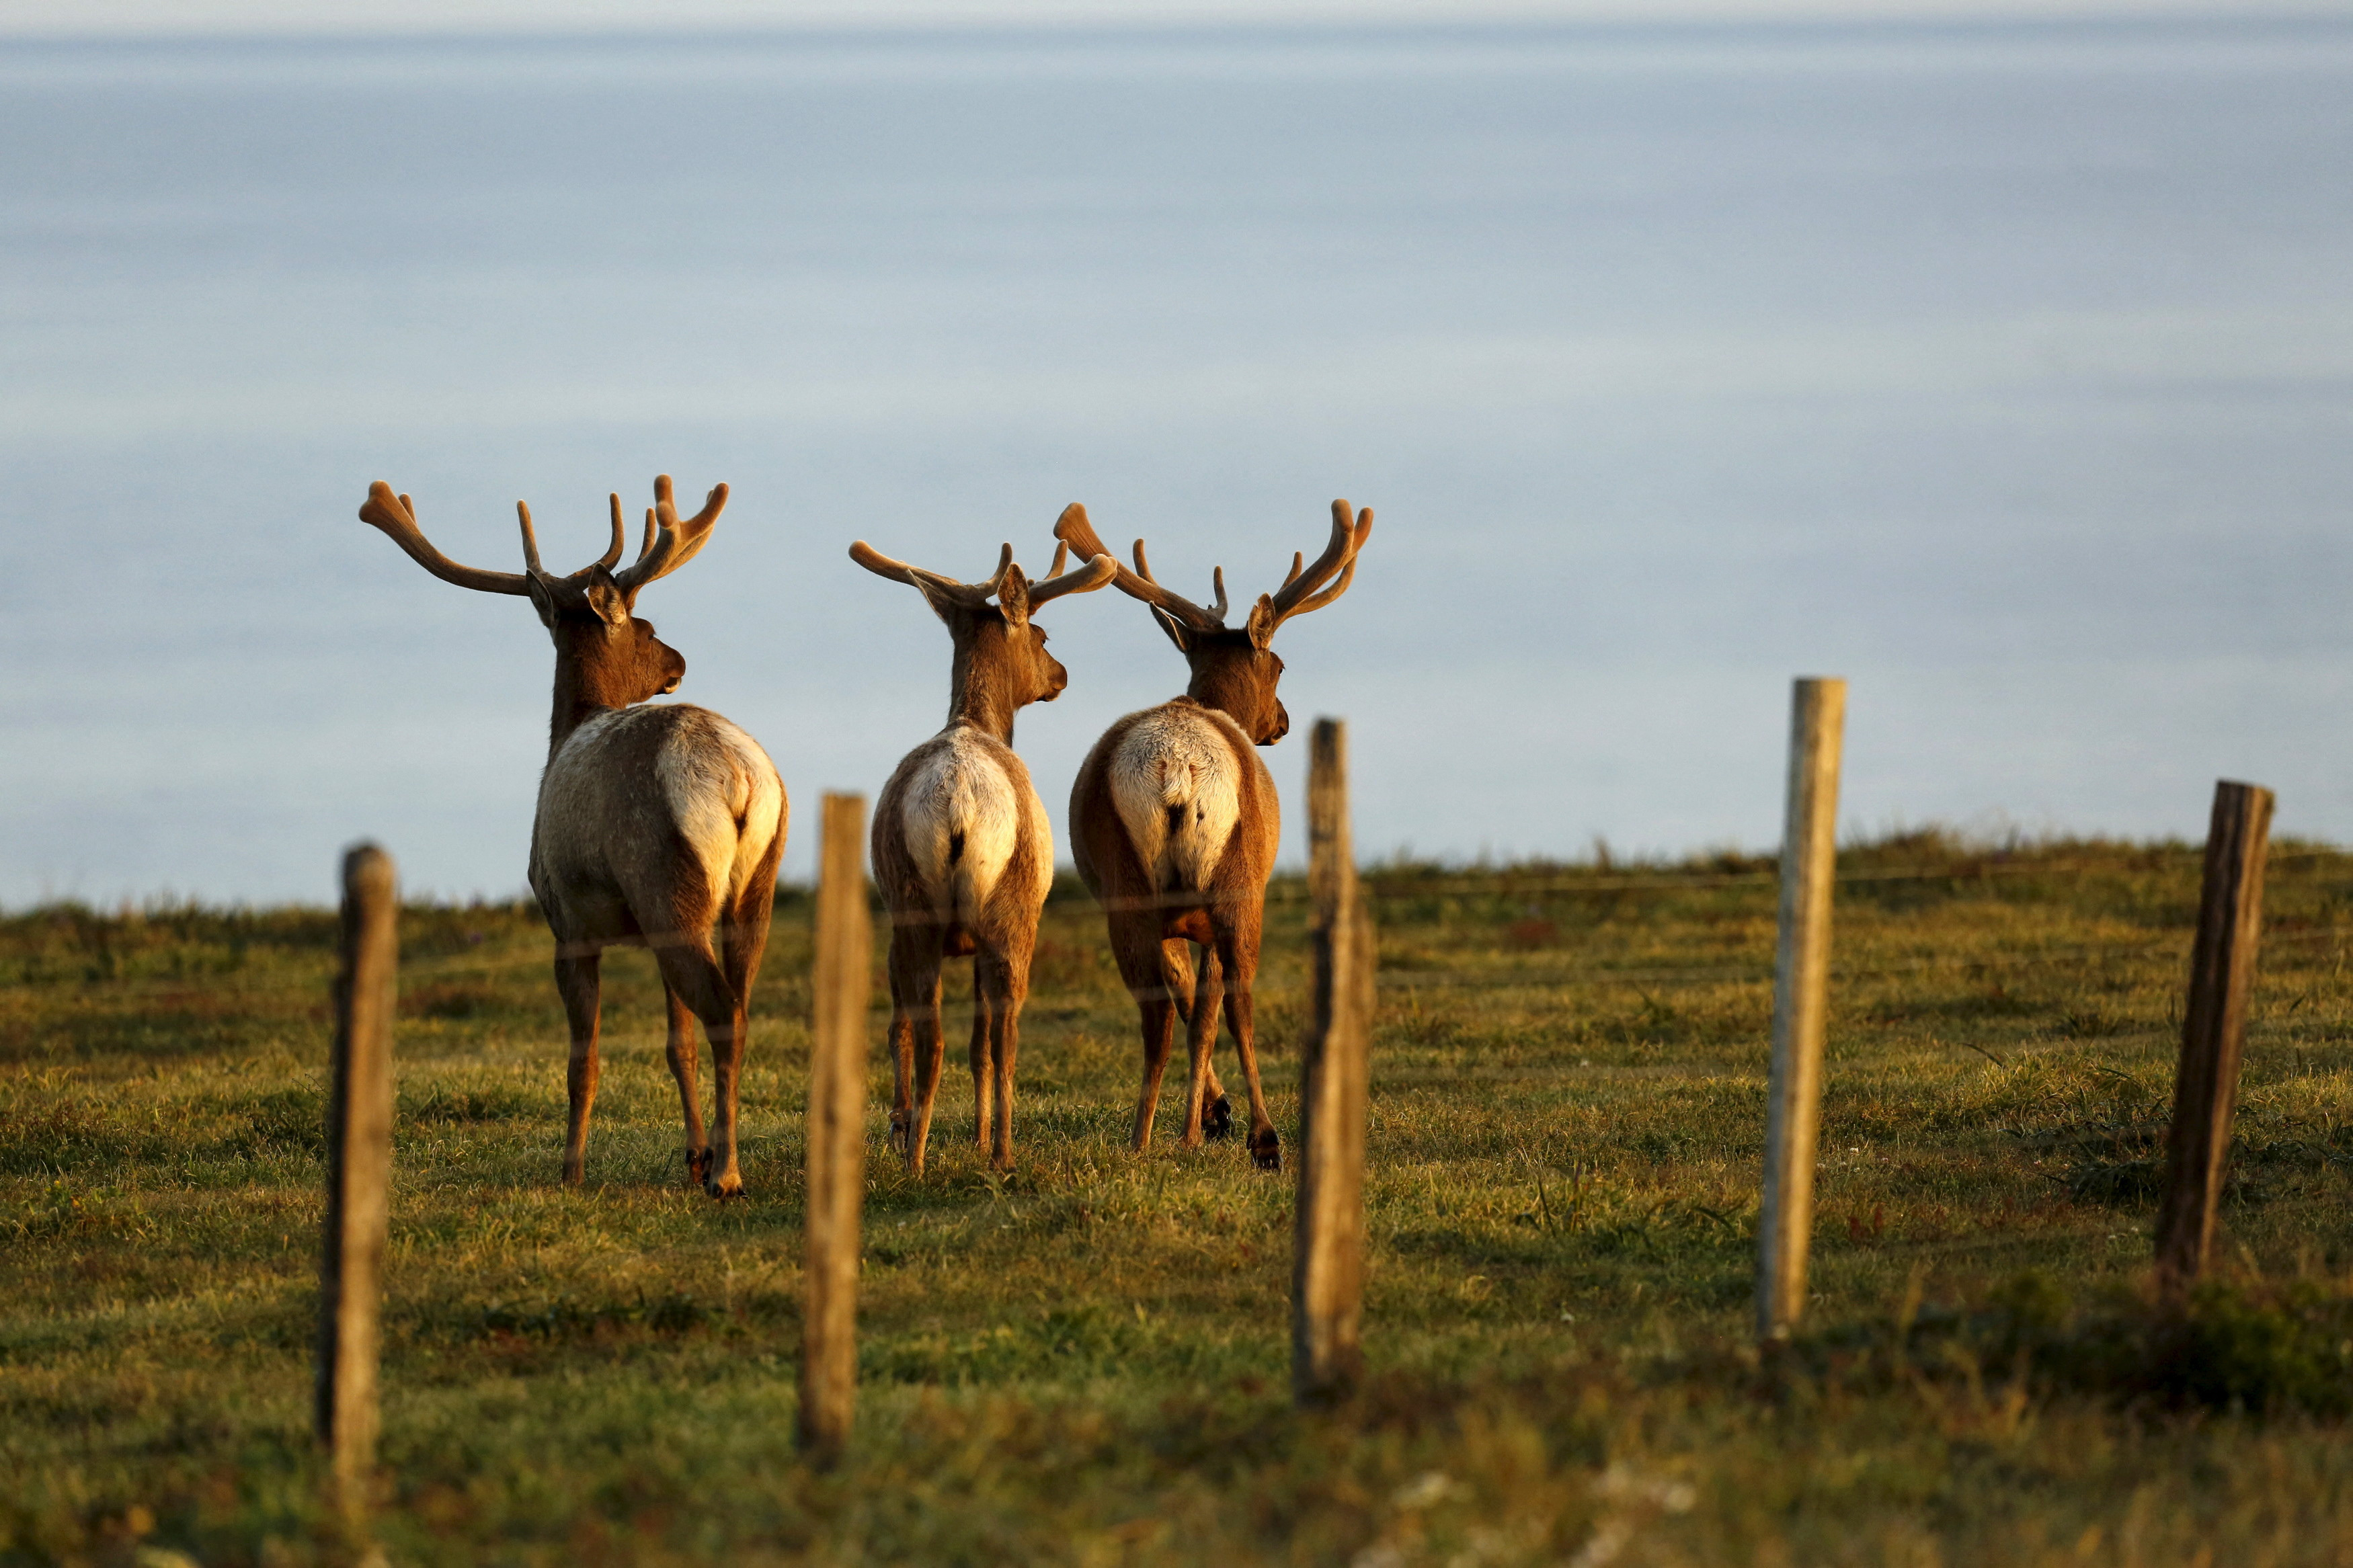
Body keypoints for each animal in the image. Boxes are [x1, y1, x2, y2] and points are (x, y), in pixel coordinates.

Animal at [353, 472, 786, 1194]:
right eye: (648, 627)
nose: (679, 660)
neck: (568, 730)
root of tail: (741, 782)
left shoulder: (567, 921)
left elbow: (583, 1062)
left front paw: (571, 1170)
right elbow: (677, 1044)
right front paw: (690, 1152)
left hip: (664, 875)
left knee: (724, 1012)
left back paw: (728, 1175)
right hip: (753, 887)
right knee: (740, 1009)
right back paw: (724, 1161)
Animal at [856, 533, 1120, 1170]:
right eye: (1043, 635)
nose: (1061, 674)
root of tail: (957, 803)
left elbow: (940, 1035)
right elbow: (982, 1039)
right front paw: (975, 1138)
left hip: (911, 910)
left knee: (925, 1030)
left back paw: (917, 1150)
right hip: (1008, 911)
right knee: (1001, 1033)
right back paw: (991, 1150)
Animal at [1054, 496, 1374, 1170]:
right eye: (1279, 664)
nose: (1281, 721)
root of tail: (1175, 763)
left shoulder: (1172, 918)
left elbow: (1185, 999)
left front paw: (1208, 1113)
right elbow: (1210, 1008)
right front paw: (1212, 1122)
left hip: (1126, 889)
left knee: (1157, 1013)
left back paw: (1144, 1136)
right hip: (1236, 882)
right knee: (1239, 1005)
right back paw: (1261, 1138)